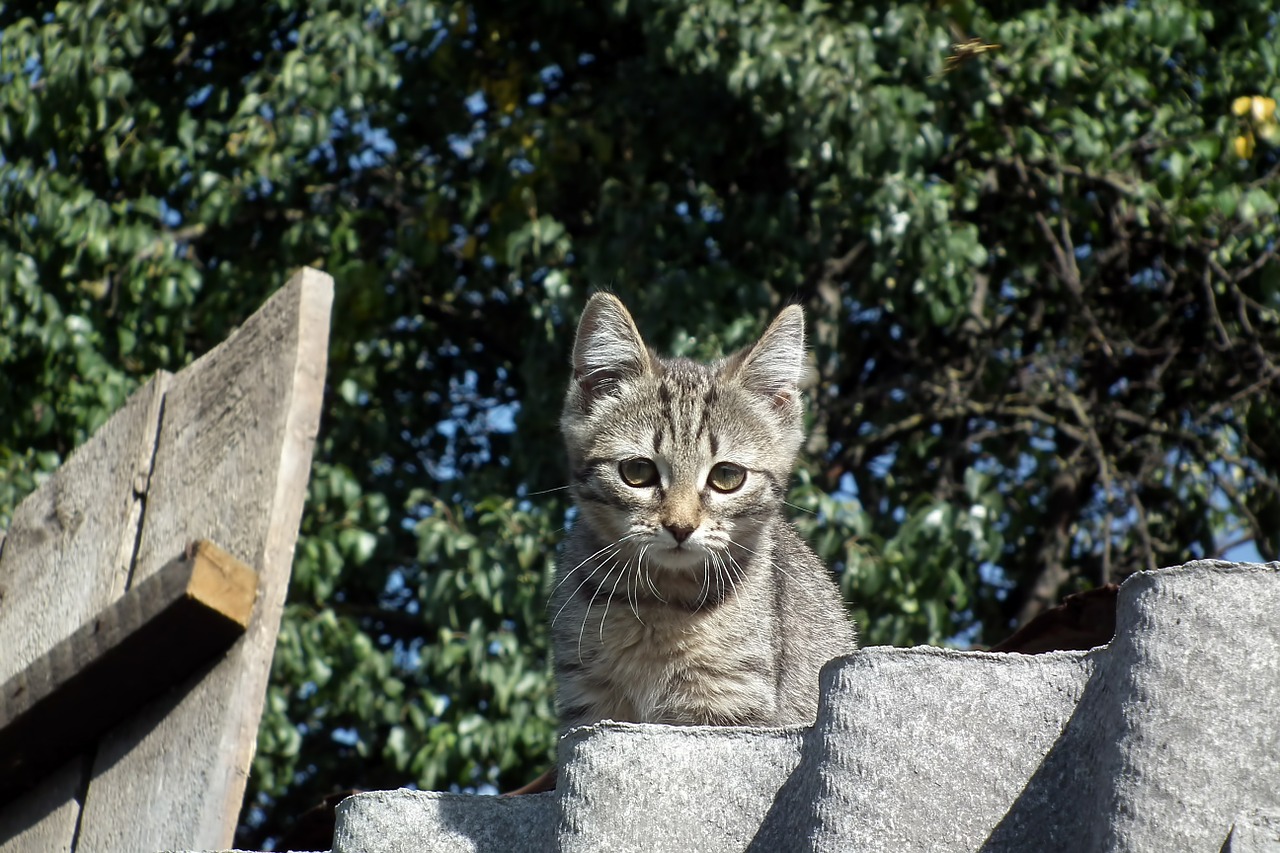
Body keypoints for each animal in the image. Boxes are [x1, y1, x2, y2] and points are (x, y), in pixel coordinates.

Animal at [547, 290, 855, 722]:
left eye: (727, 476)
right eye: (637, 471)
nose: (680, 527)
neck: (661, 604)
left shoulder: (732, 700)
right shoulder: (587, 700)